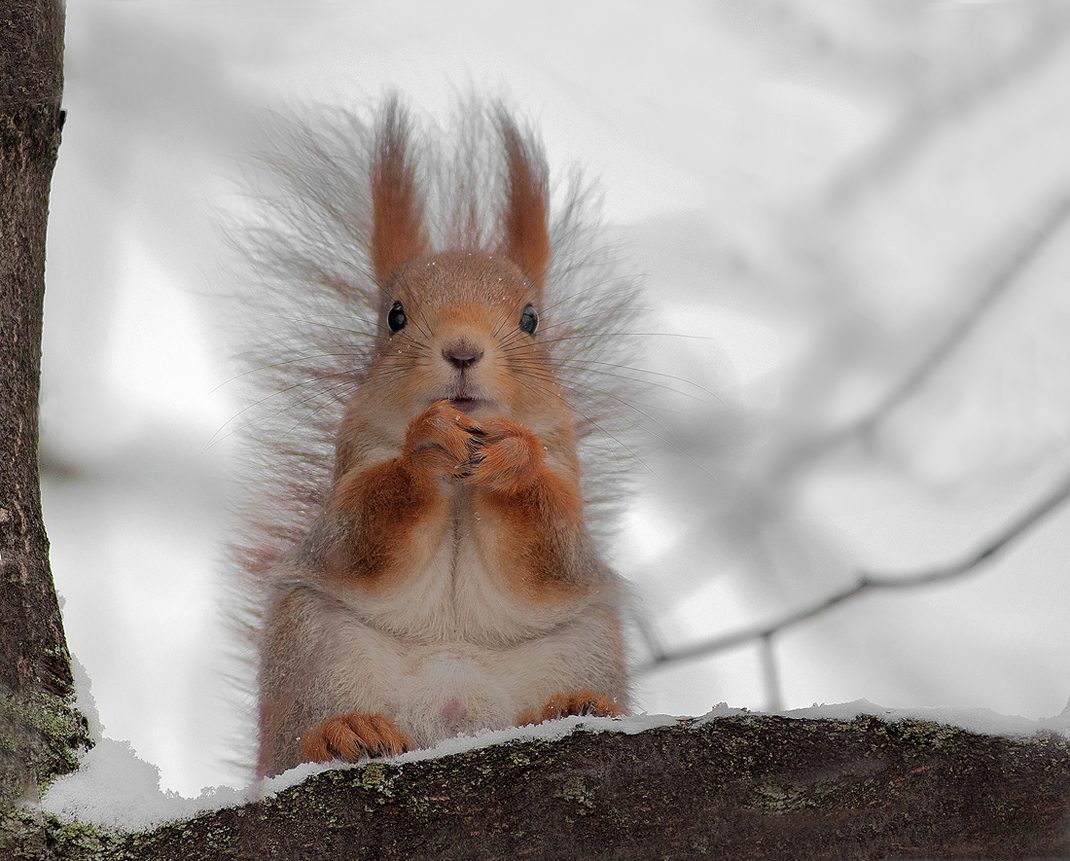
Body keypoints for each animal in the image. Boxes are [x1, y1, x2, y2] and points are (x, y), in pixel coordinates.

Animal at [232, 97, 633, 774]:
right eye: (394, 317)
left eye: (531, 319)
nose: (463, 349)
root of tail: (451, 719)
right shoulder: (352, 469)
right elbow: (364, 533)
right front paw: (424, 446)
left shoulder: (565, 468)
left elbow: (550, 544)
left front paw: (515, 458)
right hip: (314, 651)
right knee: (296, 745)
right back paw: (345, 732)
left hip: (587, 644)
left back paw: (573, 705)